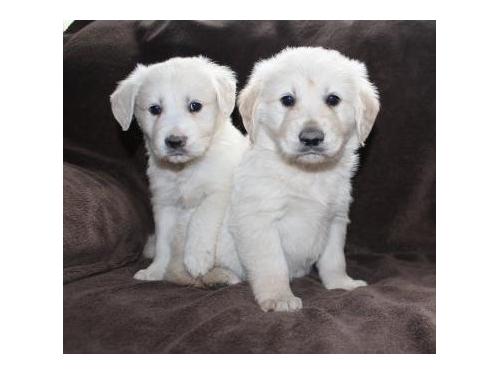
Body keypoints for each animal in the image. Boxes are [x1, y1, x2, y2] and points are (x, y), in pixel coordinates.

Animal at [111, 55, 248, 284]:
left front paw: (197, 259)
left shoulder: (219, 191)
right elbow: (163, 245)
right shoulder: (164, 204)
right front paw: (156, 270)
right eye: (154, 109)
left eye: (195, 106)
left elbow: (201, 219)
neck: (185, 169)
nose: (175, 141)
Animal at [221, 47, 380, 312]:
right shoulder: (259, 221)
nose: (311, 138)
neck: (308, 173)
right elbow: (272, 264)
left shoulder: (335, 219)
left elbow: (335, 259)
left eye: (333, 99)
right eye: (287, 100)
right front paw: (279, 297)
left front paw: (341, 284)